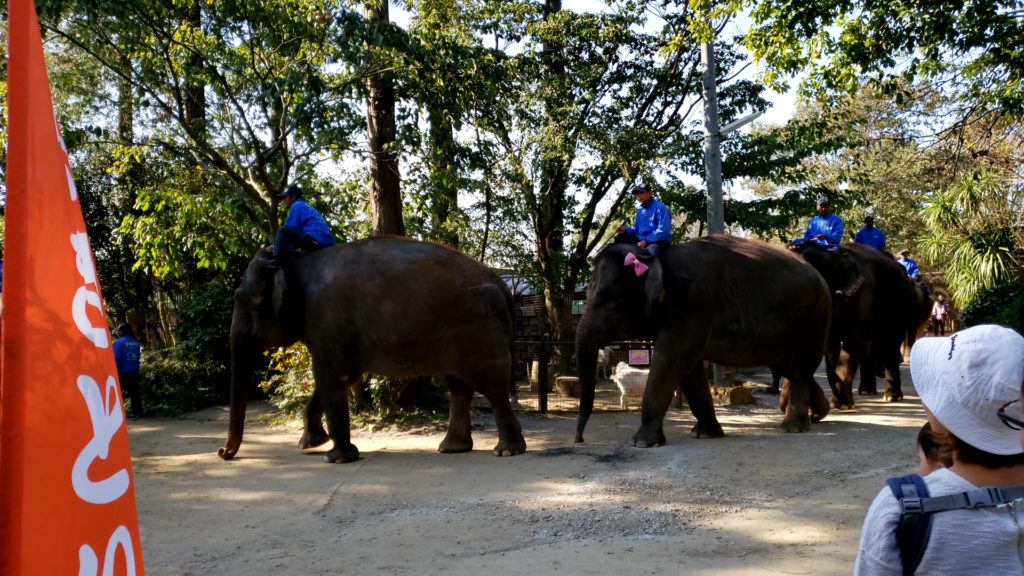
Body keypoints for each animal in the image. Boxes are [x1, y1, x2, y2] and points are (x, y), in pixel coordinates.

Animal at [222, 234, 528, 461]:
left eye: (241, 299)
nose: (223, 452)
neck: (298, 260)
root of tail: (503, 285)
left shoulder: (327, 318)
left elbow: (331, 378)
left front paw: (338, 457)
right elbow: (341, 379)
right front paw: (310, 444)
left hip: (480, 329)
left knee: (492, 387)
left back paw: (506, 452)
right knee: (459, 387)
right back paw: (451, 449)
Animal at [577, 233, 831, 444]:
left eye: (612, 300)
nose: (579, 440)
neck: (655, 259)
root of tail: (820, 276)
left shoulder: (691, 305)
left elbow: (670, 362)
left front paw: (642, 443)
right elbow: (690, 371)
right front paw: (705, 434)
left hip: (813, 318)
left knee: (799, 369)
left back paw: (793, 427)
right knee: (792, 368)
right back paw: (819, 413)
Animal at [786, 239, 933, 405]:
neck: (834, 255)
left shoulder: (862, 295)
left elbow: (856, 342)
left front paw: (842, 404)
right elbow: (832, 346)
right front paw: (836, 402)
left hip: (902, 305)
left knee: (891, 343)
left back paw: (891, 396)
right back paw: (866, 391)